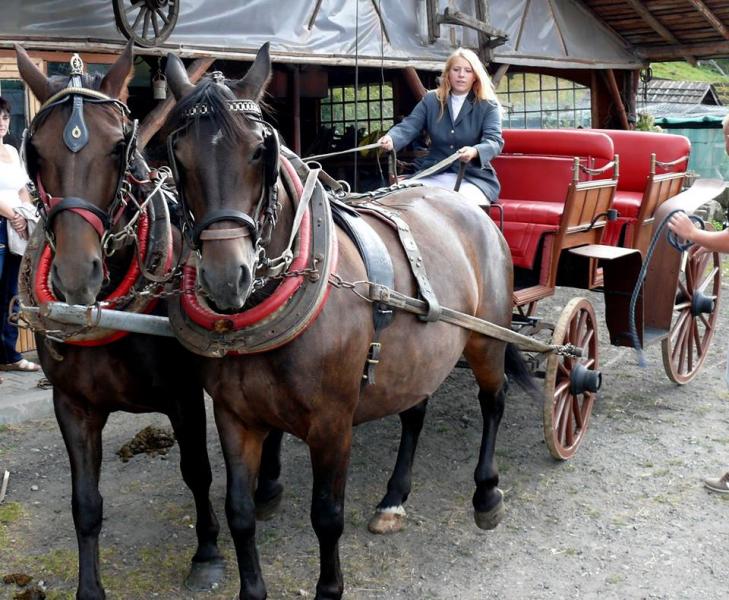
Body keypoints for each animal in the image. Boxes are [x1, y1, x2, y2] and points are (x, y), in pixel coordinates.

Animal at [15, 44, 226, 596]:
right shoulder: (73, 405)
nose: (75, 274)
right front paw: (90, 588)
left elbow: (197, 470)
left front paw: (208, 553)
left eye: (117, 148)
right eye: (36, 152)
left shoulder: (183, 396)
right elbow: (85, 503)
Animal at [165, 45, 528, 600]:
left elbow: (326, 516)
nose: (228, 278)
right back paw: (394, 498)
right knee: (414, 412)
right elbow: (239, 513)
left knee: (495, 401)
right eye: (178, 157)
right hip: (418, 353)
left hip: (486, 340)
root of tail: (463, 201)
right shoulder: (233, 416)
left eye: (260, 152)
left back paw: (486, 494)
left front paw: (329, 587)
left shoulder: (332, 424)